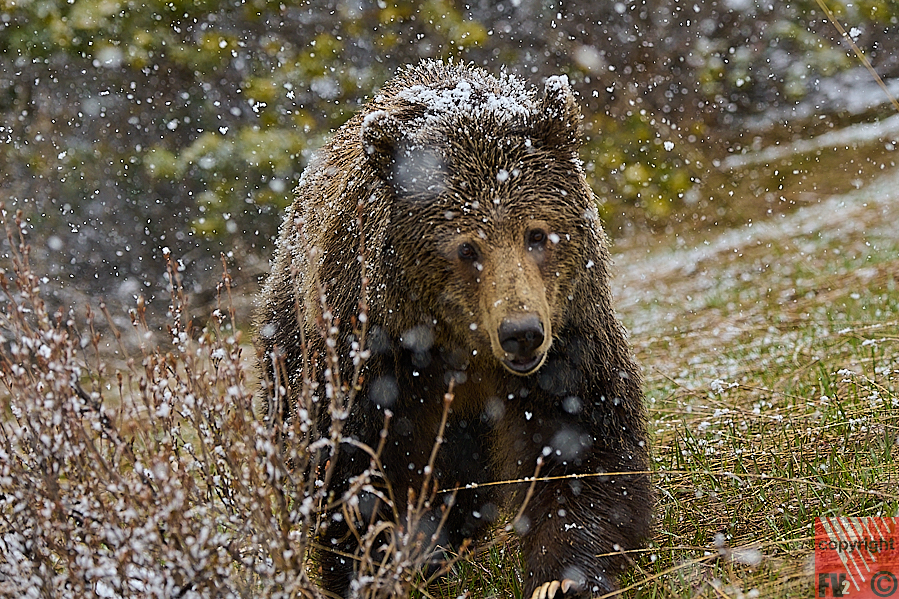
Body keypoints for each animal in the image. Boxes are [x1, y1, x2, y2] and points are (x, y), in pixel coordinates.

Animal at [255, 60, 651, 599]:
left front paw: (563, 577)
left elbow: (583, 447)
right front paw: (375, 569)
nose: (521, 332)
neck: (459, 343)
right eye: (467, 248)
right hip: (289, 338)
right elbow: (354, 471)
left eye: (537, 234)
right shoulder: (372, 354)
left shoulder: (568, 336)